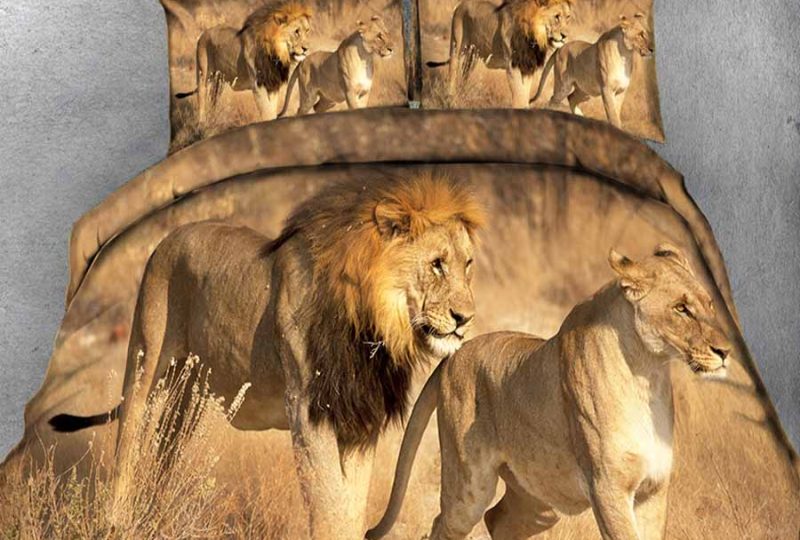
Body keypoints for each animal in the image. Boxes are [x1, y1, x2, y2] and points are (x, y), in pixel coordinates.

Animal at [48, 172, 484, 539]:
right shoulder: (308, 413)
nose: (466, 319)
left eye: (467, 264)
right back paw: (116, 522)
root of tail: (171, 234)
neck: (373, 328)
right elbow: (328, 508)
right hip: (145, 360)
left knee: (163, 453)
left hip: (188, 395)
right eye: (436, 265)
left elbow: (350, 508)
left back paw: (156, 515)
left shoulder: (359, 421)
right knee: (128, 442)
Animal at [173, 1, 312, 127]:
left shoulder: (272, 86)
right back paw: (202, 125)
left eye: (307, 31)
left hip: (219, 82)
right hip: (203, 75)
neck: (277, 54)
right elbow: (266, 113)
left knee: (213, 101)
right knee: (201, 99)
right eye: (296, 31)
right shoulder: (258, 86)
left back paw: (213, 121)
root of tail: (204, 33)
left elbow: (272, 112)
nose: (307, 48)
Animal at [368, 244, 732, 540]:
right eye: (681, 308)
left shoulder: (654, 490)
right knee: (443, 525)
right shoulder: (609, 489)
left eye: (709, 304)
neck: (647, 376)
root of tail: (453, 354)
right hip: (468, 489)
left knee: (498, 519)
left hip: (542, 500)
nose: (726, 351)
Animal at [426, 0, 572, 108]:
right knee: (452, 73)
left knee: (464, 76)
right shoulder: (513, 67)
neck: (536, 37)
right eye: (557, 16)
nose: (565, 36)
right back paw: (450, 101)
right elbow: (519, 98)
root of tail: (460, 4)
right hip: (457, 47)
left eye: (568, 17)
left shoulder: (527, 68)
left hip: (472, 57)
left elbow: (524, 96)